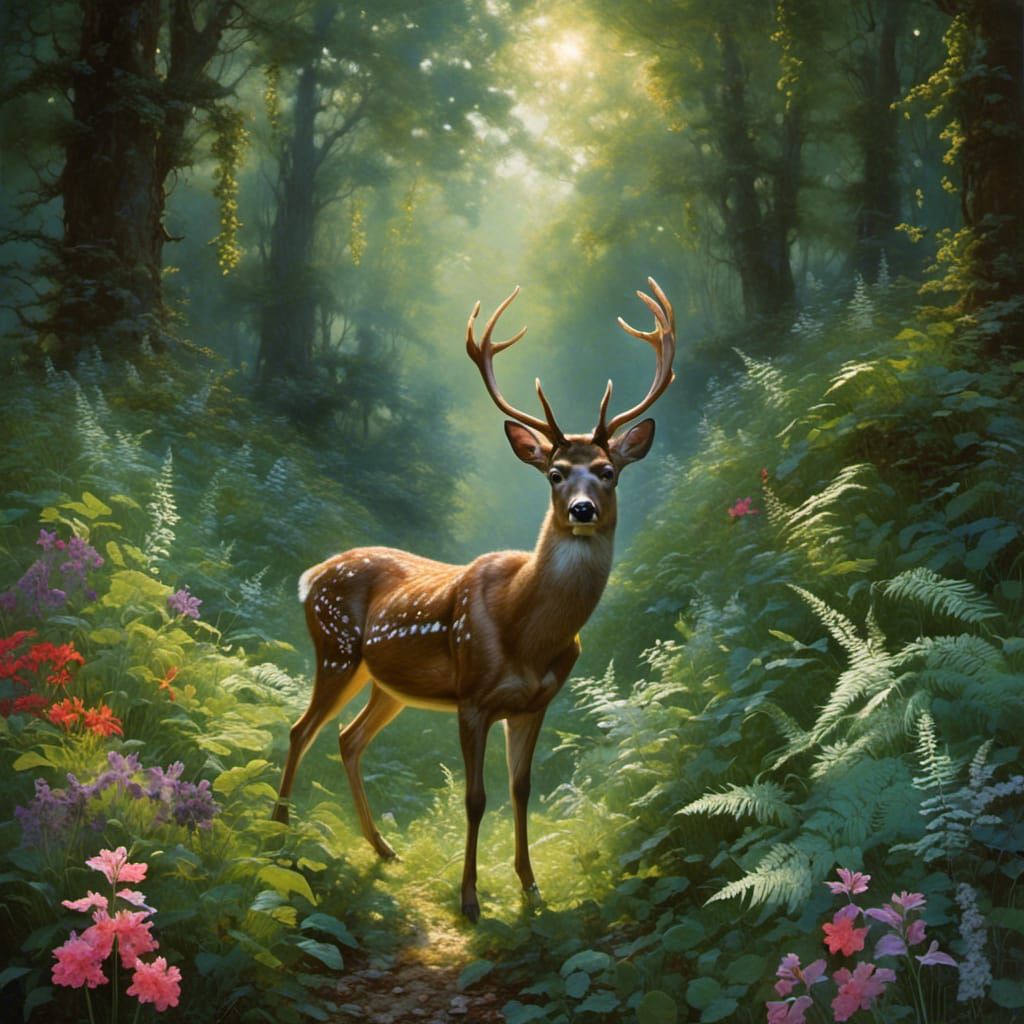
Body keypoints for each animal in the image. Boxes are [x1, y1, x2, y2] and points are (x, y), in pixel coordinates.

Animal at [273, 279, 676, 922]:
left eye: (608, 470)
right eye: (555, 473)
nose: (582, 510)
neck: (527, 629)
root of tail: (310, 576)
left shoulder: (535, 703)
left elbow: (521, 789)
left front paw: (531, 889)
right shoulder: (472, 697)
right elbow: (475, 797)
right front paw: (469, 900)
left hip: (385, 683)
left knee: (347, 738)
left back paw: (382, 848)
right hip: (335, 650)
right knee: (299, 729)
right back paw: (280, 829)